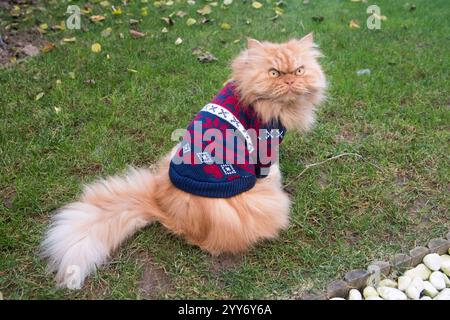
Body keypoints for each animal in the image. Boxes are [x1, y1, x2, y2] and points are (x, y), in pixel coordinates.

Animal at [40, 33, 326, 290]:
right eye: (274, 73)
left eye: (299, 70)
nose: (290, 80)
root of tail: (163, 209)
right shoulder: (265, 149)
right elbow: (269, 170)